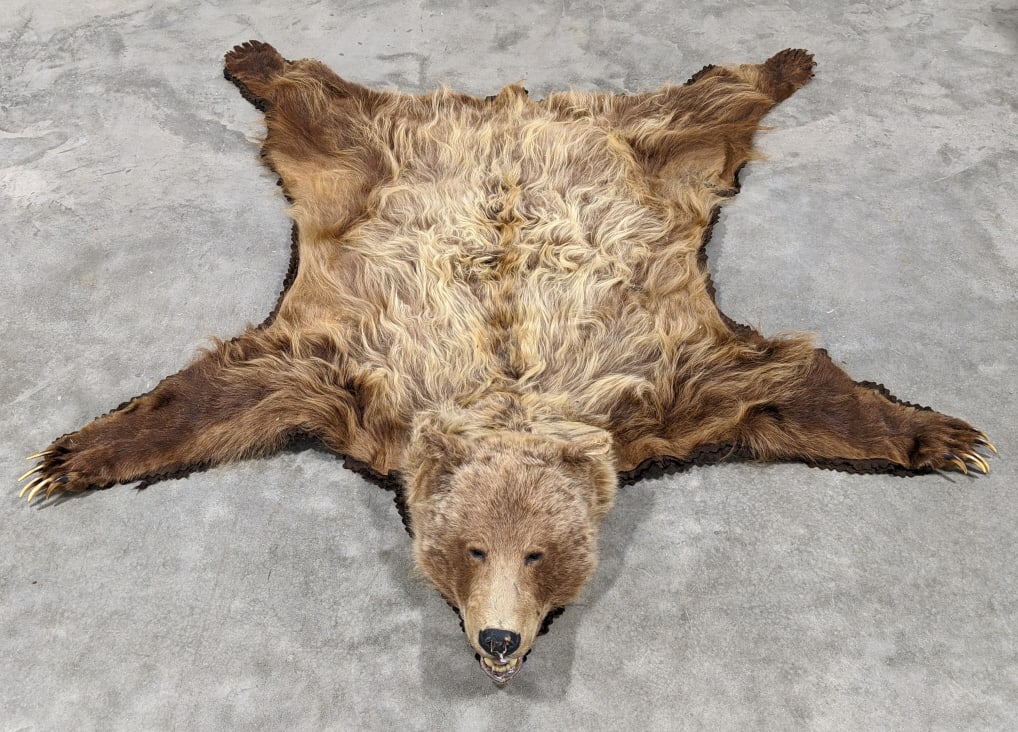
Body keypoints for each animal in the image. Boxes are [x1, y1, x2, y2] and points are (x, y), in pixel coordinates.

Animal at [20, 42, 994, 686]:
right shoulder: (349, 368)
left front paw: (946, 435)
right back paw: (252, 56)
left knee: (713, 102)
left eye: (540, 557)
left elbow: (788, 384)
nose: (498, 643)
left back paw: (789, 60)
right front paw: (67, 456)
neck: (510, 395)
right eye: (469, 550)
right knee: (317, 104)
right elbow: (227, 388)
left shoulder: (668, 377)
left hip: (652, 151)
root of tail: (511, 106)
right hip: (367, 154)